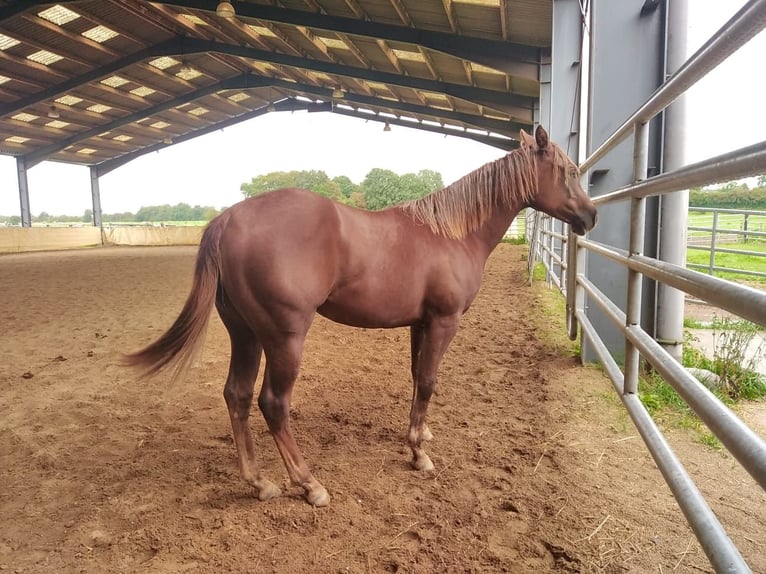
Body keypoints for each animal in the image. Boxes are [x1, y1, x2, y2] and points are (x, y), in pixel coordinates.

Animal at [124, 127, 600, 508]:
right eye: (569, 170)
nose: (591, 216)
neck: (452, 234)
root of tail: (227, 220)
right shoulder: (443, 321)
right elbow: (430, 381)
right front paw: (418, 454)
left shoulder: (420, 323)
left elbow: (417, 378)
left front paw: (421, 434)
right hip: (284, 336)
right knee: (272, 404)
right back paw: (308, 484)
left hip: (246, 334)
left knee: (237, 397)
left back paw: (259, 483)